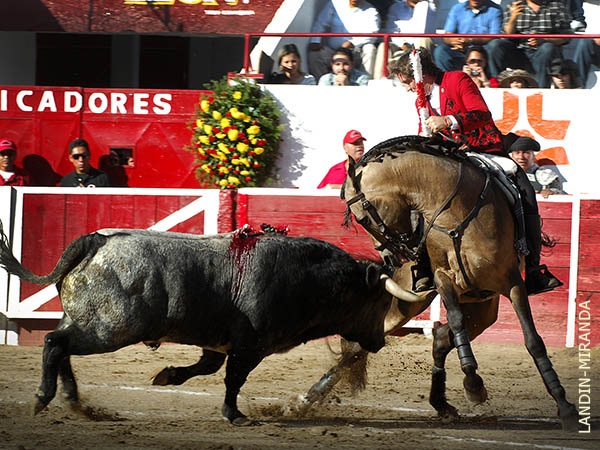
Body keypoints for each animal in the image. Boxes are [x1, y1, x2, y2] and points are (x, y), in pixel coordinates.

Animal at [0, 229, 422, 426]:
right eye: (380, 301)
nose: (379, 342)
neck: (304, 278)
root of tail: (96, 241)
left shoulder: (220, 344)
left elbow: (207, 367)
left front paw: (167, 376)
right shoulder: (251, 347)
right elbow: (233, 379)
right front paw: (234, 414)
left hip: (89, 323)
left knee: (62, 347)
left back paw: (75, 402)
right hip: (111, 329)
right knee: (54, 343)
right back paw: (43, 398)